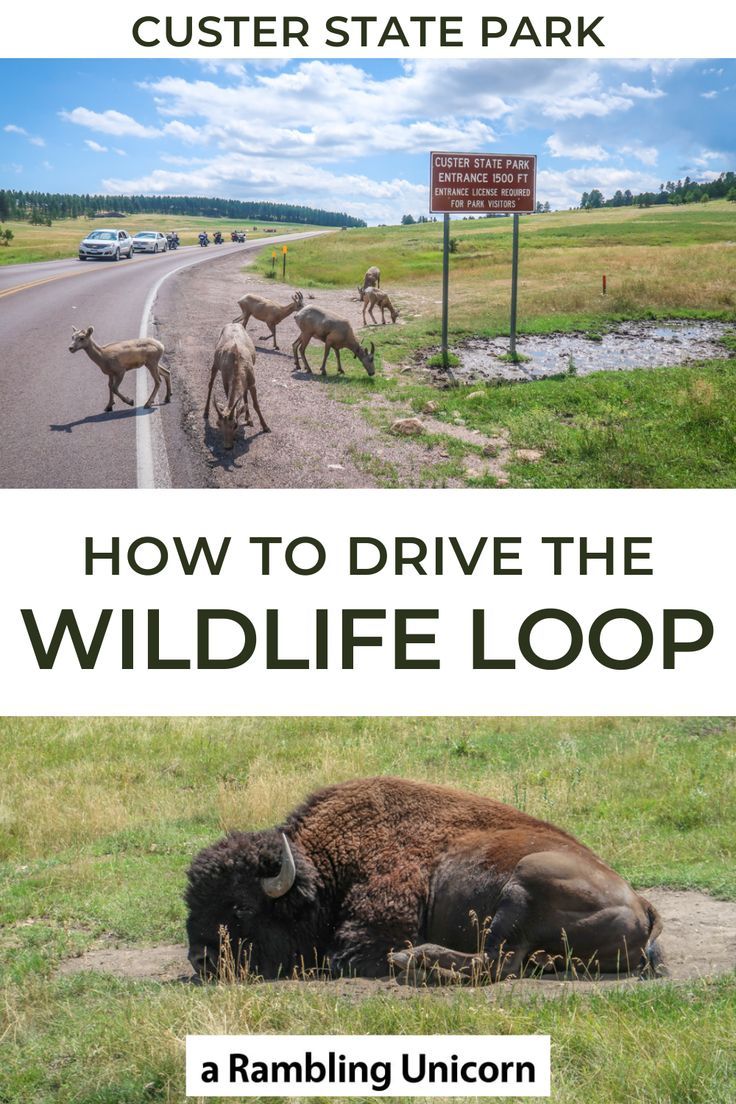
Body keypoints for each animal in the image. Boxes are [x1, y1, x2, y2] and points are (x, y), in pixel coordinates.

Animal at [185, 777, 666, 984]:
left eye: (241, 906)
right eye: (192, 901)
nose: (200, 959)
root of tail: (643, 906)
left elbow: (345, 958)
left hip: (525, 883)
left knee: (497, 962)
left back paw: (411, 961)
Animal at [204, 320, 270, 448]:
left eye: (235, 425)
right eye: (218, 424)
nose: (228, 447)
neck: (237, 363)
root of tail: (233, 323)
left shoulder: (252, 382)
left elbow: (255, 405)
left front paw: (265, 427)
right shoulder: (226, 381)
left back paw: (248, 418)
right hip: (215, 363)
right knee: (210, 383)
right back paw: (205, 413)